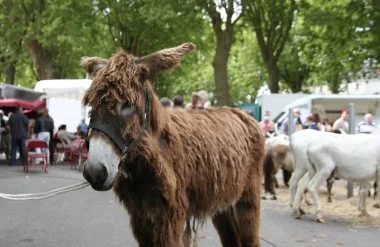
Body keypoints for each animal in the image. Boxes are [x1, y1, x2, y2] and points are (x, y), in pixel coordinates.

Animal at [80, 43, 264, 247]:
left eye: (127, 104)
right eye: (91, 105)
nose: (94, 172)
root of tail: (241, 114)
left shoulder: (169, 216)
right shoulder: (140, 217)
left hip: (248, 197)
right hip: (223, 200)